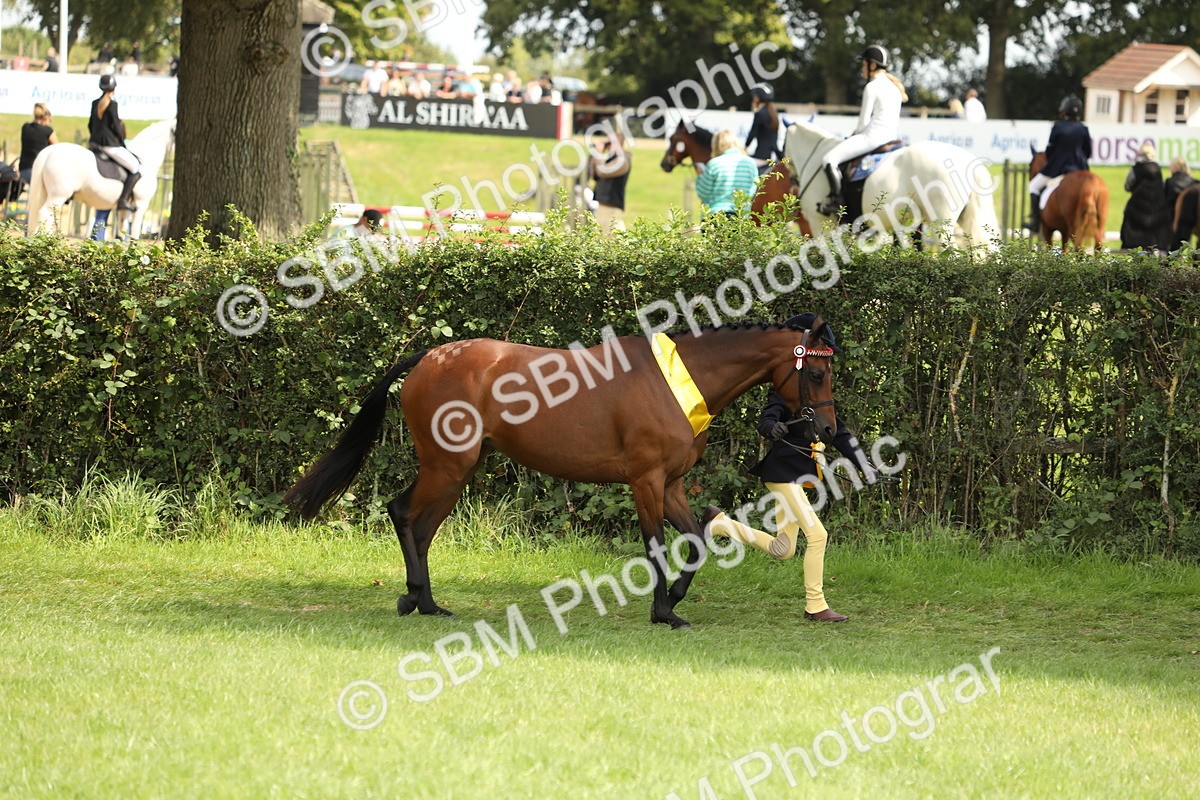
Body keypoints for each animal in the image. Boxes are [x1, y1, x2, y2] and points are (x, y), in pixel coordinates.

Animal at [25, 118, 176, 239]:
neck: (145, 160)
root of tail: (49, 151)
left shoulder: (125, 208)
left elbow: (121, 232)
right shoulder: (141, 203)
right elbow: (134, 232)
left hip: (47, 193)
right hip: (58, 195)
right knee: (44, 214)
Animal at [283, 320, 840, 630]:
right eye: (815, 372)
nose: (829, 430)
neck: (677, 382)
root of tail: (431, 356)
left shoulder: (672, 484)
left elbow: (698, 538)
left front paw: (677, 601)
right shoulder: (645, 482)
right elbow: (657, 547)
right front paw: (664, 613)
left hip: (458, 469)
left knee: (422, 528)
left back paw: (427, 604)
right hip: (447, 465)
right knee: (403, 514)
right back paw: (416, 597)